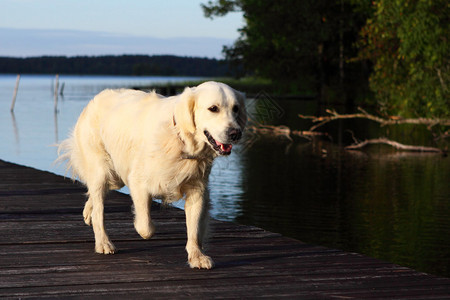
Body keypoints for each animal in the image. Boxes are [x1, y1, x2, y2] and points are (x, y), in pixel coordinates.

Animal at [57, 81, 246, 268]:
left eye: (235, 108)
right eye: (213, 108)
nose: (235, 133)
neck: (181, 139)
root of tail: (96, 98)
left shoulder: (197, 189)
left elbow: (194, 228)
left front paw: (197, 256)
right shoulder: (138, 182)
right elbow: (146, 228)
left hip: (116, 174)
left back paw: (88, 212)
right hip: (101, 171)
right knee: (99, 210)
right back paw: (103, 242)